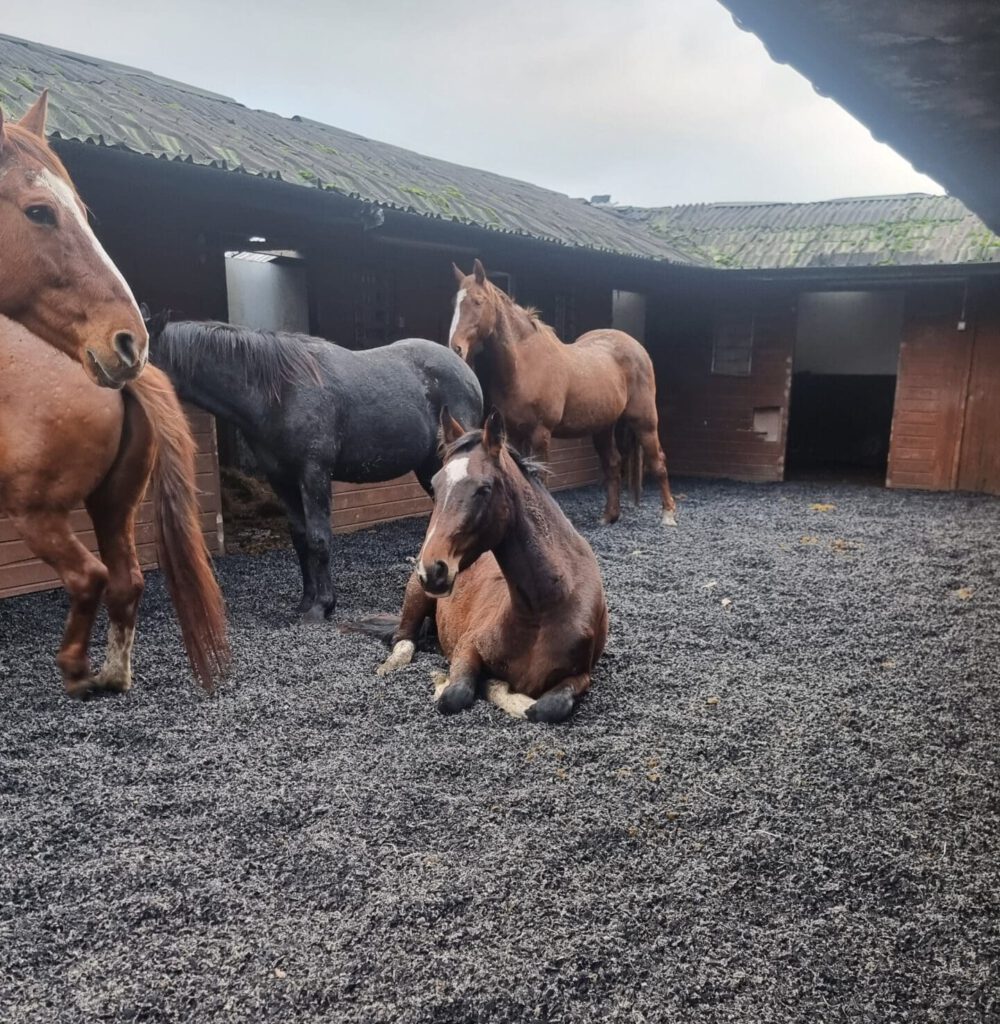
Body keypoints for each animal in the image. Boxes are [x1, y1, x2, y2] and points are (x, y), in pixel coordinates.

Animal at [0, 313, 230, 696]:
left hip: (36, 514)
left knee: (88, 576)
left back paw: (76, 671)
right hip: (114, 506)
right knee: (126, 582)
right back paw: (113, 675)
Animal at [147, 311, 483, 618]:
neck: (279, 393)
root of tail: (466, 371)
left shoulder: (314, 473)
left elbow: (319, 538)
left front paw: (322, 606)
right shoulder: (280, 478)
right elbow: (300, 538)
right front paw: (306, 602)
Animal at [343, 405, 610, 720]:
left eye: (484, 489)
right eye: (434, 486)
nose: (431, 569)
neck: (545, 608)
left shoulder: (580, 676)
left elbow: (546, 708)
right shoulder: (467, 647)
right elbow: (455, 695)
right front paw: (450, 684)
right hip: (416, 595)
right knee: (403, 640)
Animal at [452, 260, 679, 528]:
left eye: (478, 301)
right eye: (455, 302)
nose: (455, 347)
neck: (524, 365)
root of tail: (637, 347)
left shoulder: (541, 433)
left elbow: (541, 477)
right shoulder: (514, 433)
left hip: (644, 422)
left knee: (658, 461)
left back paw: (668, 515)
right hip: (603, 427)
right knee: (613, 463)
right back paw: (609, 516)